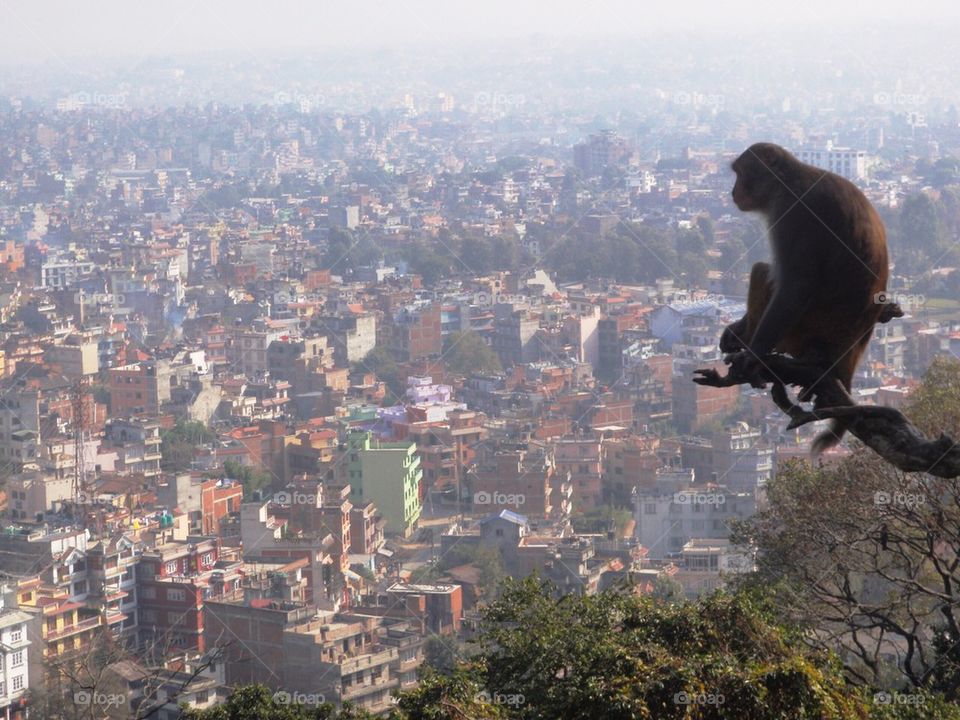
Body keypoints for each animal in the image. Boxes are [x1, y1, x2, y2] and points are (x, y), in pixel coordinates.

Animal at [719, 142, 891, 455]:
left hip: (805, 330)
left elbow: (795, 287)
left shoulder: (792, 214)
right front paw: (735, 329)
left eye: (740, 173)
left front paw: (753, 354)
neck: (786, 183)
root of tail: (846, 352)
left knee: (762, 270)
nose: (733, 191)